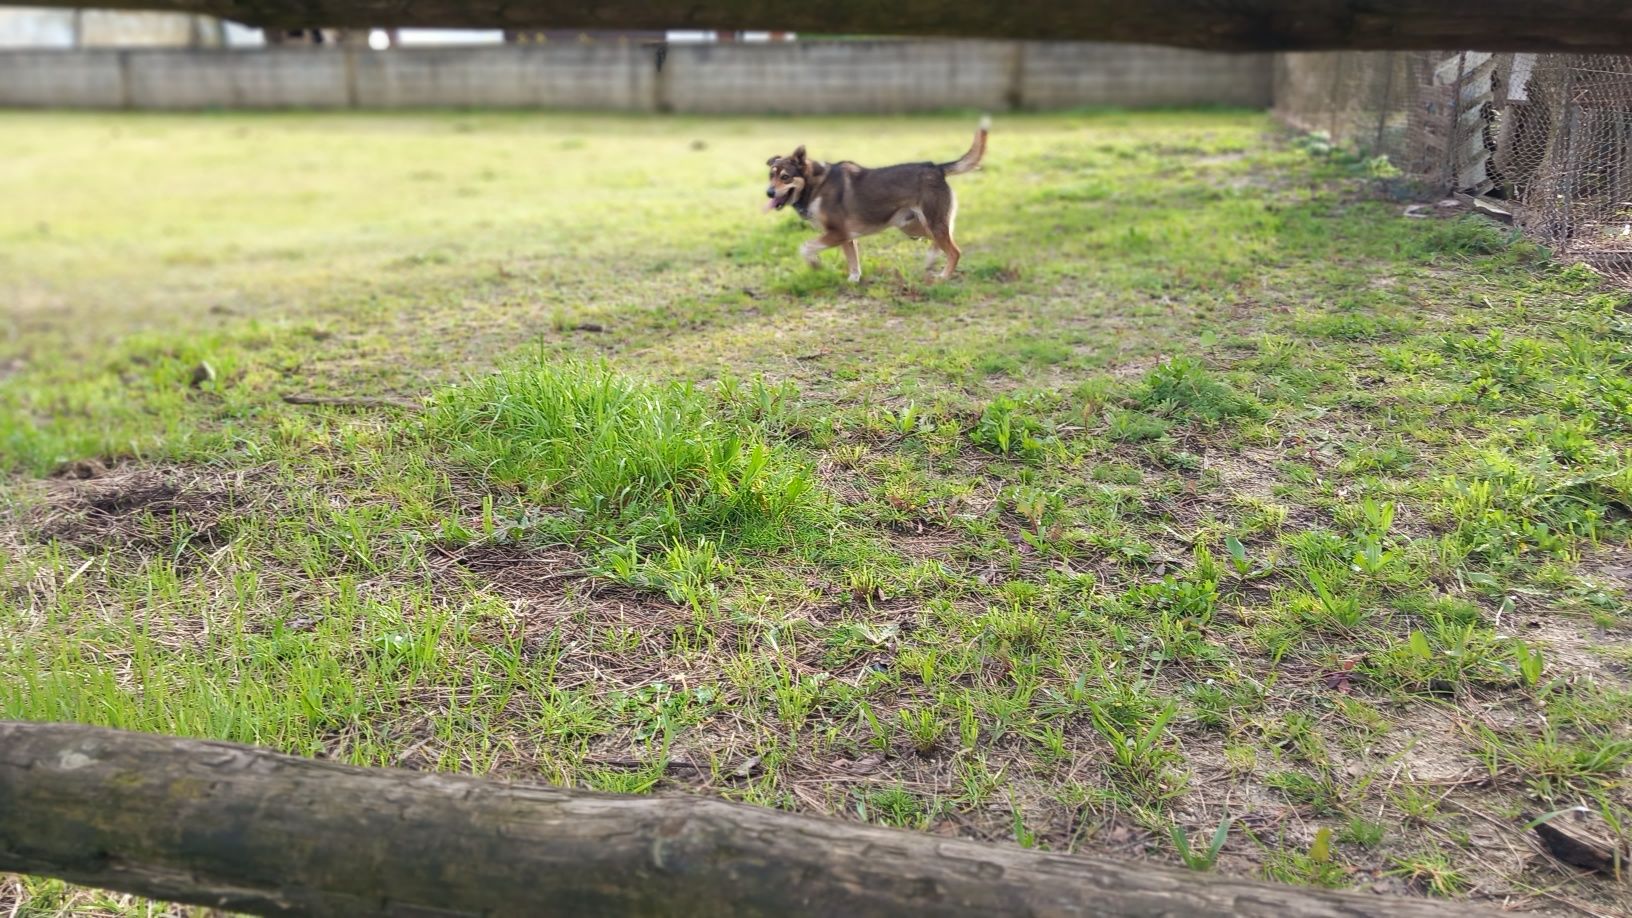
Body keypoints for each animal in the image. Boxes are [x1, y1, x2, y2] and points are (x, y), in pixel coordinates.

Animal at [760, 117, 985, 282]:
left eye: (785, 177)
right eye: (771, 175)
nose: (769, 193)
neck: (815, 185)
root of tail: (936, 167)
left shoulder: (838, 233)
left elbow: (806, 247)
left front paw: (815, 265)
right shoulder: (846, 237)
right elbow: (853, 262)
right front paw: (853, 280)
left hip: (933, 223)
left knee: (954, 251)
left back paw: (944, 276)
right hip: (912, 226)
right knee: (943, 242)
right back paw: (930, 261)